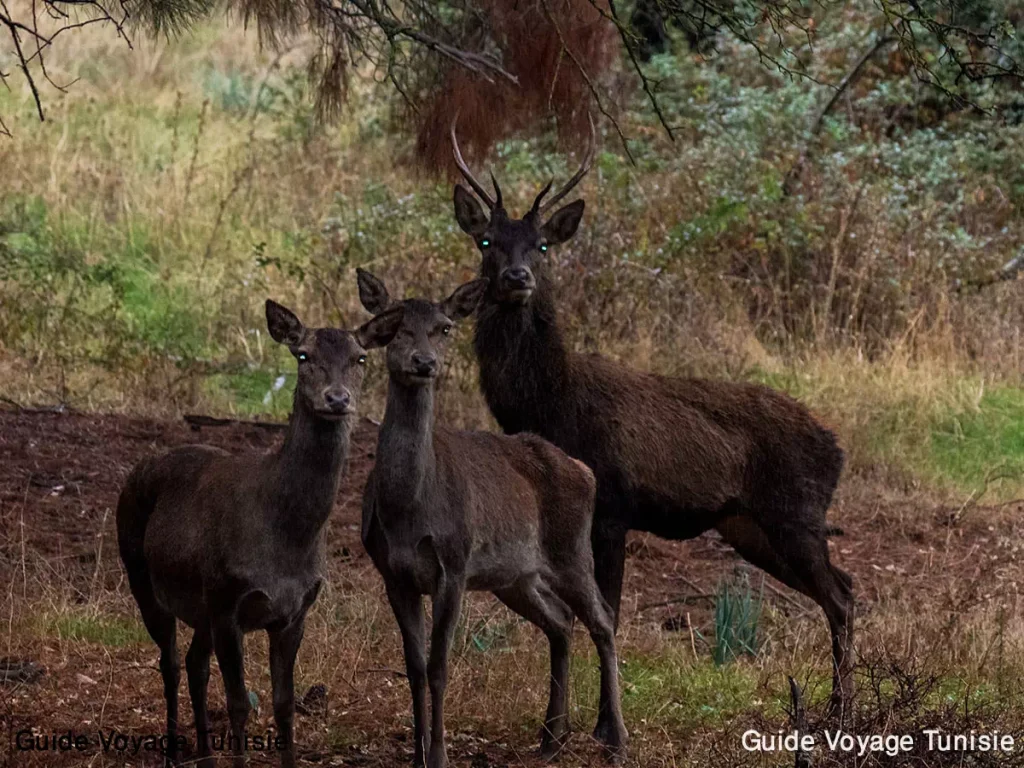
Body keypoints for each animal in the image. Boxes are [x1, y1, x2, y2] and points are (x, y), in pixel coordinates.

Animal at [118, 296, 403, 765]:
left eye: (360, 358)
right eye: (302, 355)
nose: (337, 398)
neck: (285, 540)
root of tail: (134, 471)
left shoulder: (295, 610)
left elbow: (283, 703)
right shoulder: (228, 600)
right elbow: (238, 704)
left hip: (200, 602)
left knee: (195, 663)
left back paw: (205, 753)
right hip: (142, 574)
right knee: (170, 661)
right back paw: (175, 751)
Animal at [360, 274, 630, 768]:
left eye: (445, 327)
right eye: (394, 327)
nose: (424, 363)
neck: (410, 507)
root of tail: (584, 471)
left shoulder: (453, 564)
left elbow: (439, 666)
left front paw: (440, 755)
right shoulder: (393, 574)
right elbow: (414, 667)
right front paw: (416, 753)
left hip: (570, 550)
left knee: (602, 618)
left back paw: (616, 738)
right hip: (514, 576)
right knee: (560, 620)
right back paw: (551, 737)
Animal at [448, 121, 856, 720]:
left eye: (542, 245)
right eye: (486, 242)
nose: (518, 276)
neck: (554, 405)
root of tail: (838, 449)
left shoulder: (614, 507)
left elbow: (609, 617)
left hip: (795, 514)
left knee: (843, 598)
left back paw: (840, 710)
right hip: (748, 526)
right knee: (844, 586)